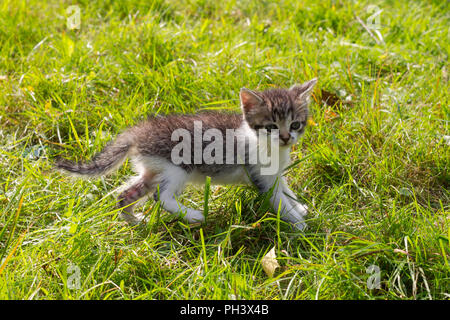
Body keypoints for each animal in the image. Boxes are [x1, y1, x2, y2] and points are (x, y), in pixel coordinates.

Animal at [55, 79, 316, 231]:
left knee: (125, 195)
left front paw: (299, 207)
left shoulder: (275, 174)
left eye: (295, 124)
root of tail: (138, 132)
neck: (267, 146)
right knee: (160, 196)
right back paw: (193, 216)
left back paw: (137, 221)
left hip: (153, 169)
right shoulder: (259, 176)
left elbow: (285, 190)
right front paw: (299, 224)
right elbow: (278, 199)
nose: (286, 138)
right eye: (271, 126)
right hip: (177, 167)